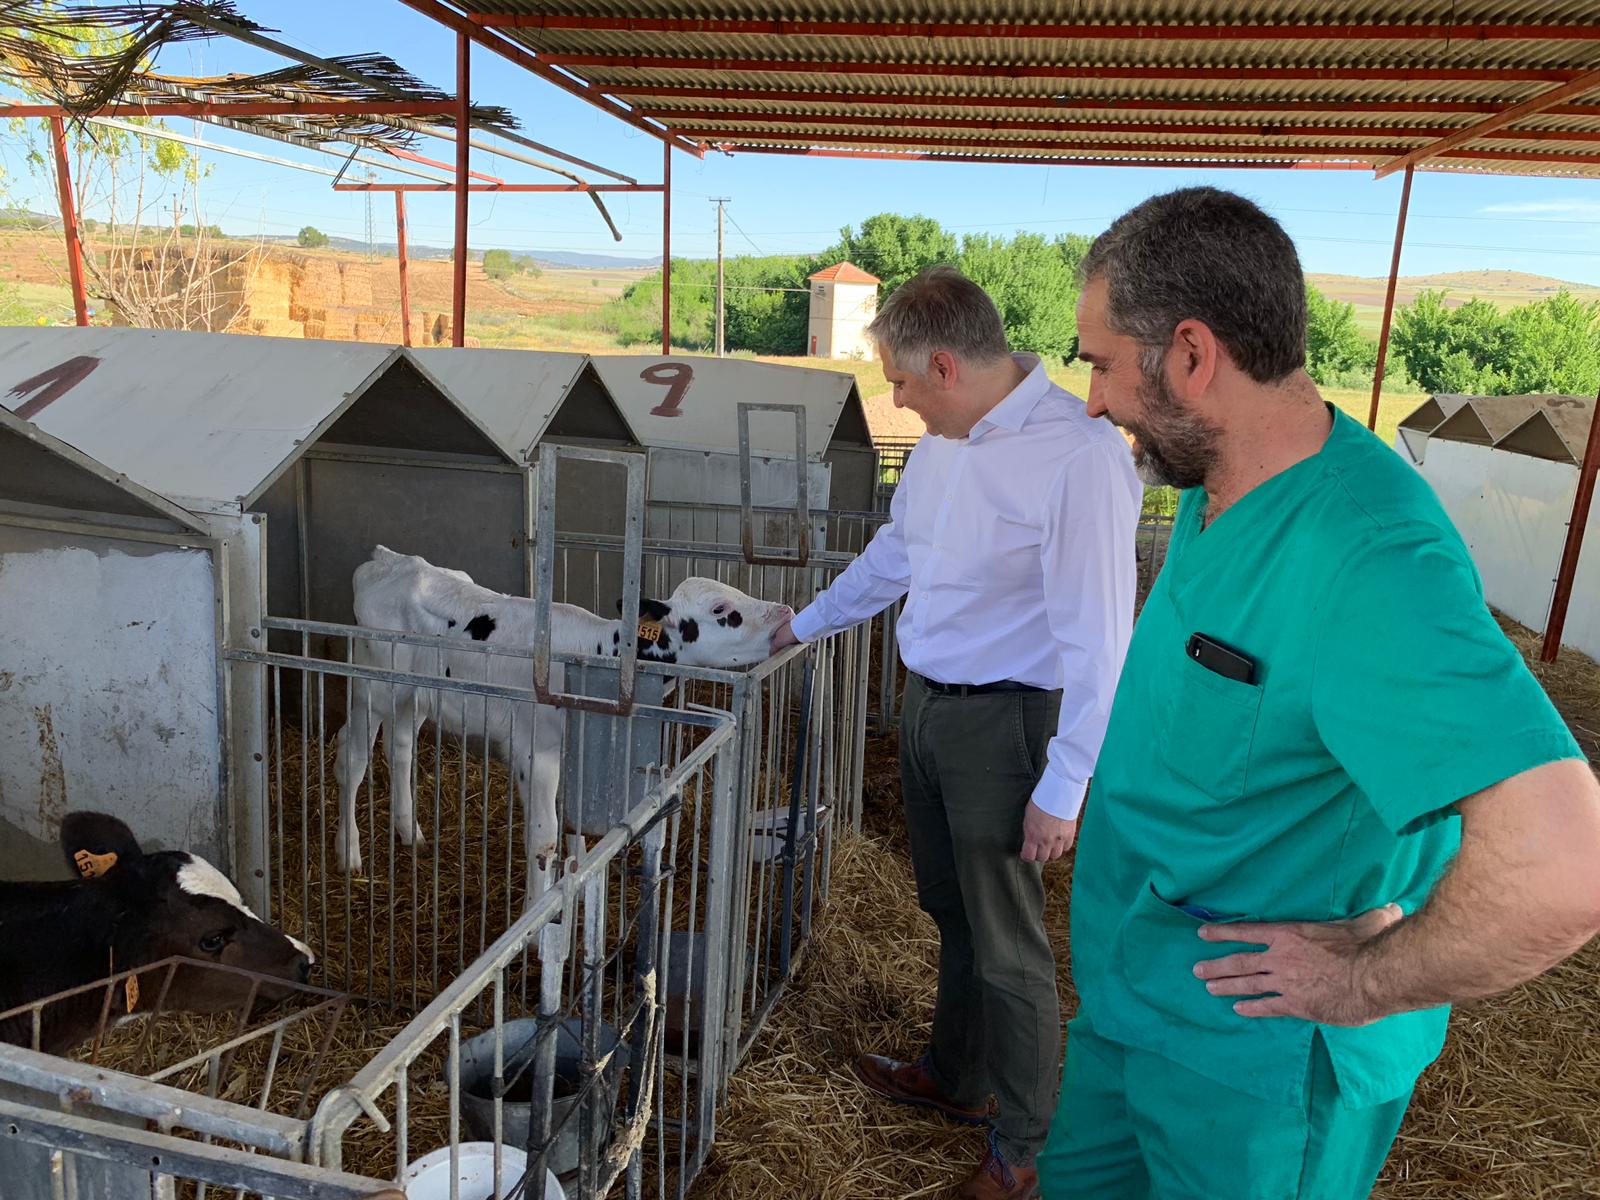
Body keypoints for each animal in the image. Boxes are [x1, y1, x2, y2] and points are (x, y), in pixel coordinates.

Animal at [332, 550, 793, 896]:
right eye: (721, 609)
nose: (787, 609)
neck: (598, 658)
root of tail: (387, 559)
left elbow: (575, 819)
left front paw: (581, 874)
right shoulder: (535, 754)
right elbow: (544, 836)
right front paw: (539, 926)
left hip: (414, 695)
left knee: (400, 749)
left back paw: (411, 833)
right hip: (371, 687)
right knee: (351, 759)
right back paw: (348, 852)